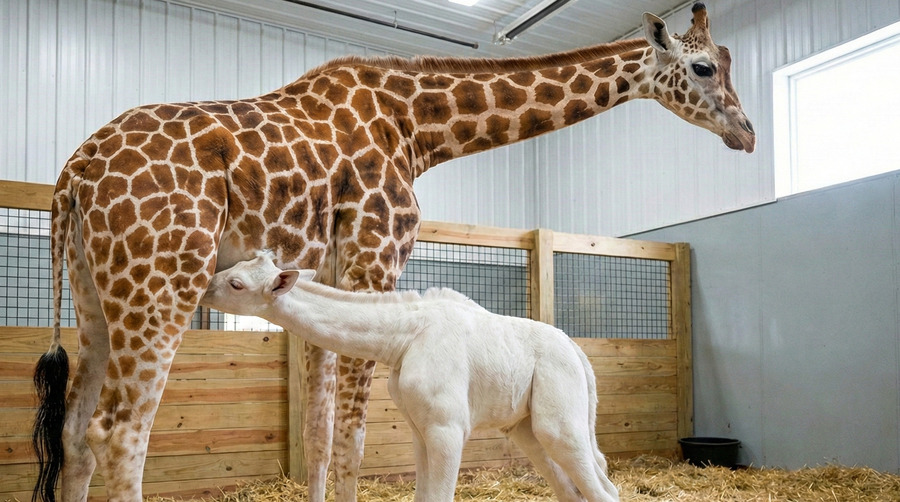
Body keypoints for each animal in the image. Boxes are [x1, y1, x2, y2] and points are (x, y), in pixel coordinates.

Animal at [32, 3, 753, 502]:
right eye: (703, 67)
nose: (746, 134)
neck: (419, 128)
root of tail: (74, 174)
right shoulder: (377, 255)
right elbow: (354, 433)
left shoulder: (325, 269)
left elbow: (320, 434)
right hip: (163, 283)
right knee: (121, 433)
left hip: (96, 297)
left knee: (74, 434)